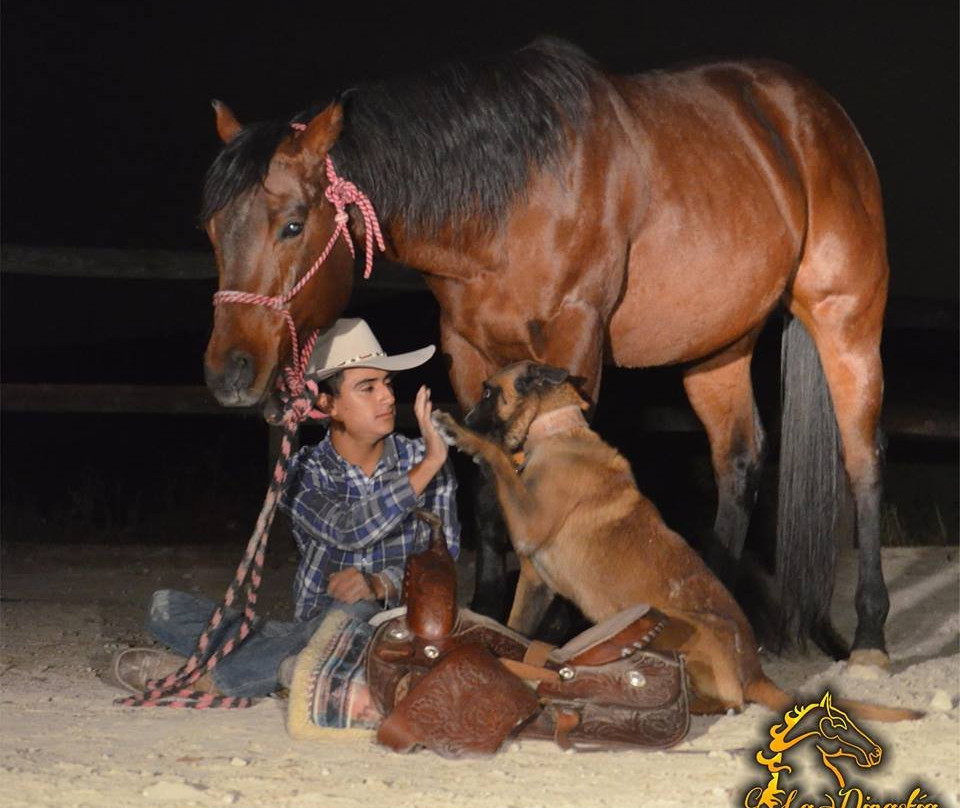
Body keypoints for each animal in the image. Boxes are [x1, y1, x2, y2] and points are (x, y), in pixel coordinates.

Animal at [202, 38, 892, 664]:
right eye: (211, 230)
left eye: (293, 224)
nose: (228, 372)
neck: (514, 194)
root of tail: (816, 113)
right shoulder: (468, 349)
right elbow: (484, 487)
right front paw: (485, 607)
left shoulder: (575, 336)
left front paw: (561, 621)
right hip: (720, 346)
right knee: (740, 461)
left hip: (847, 324)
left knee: (862, 461)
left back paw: (870, 634)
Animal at [434, 362, 916, 724]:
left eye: (488, 393)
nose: (466, 415)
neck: (557, 431)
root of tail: (754, 671)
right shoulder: (536, 581)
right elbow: (515, 627)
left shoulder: (528, 520)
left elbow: (497, 457)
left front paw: (462, 434)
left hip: (677, 626)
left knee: (731, 701)